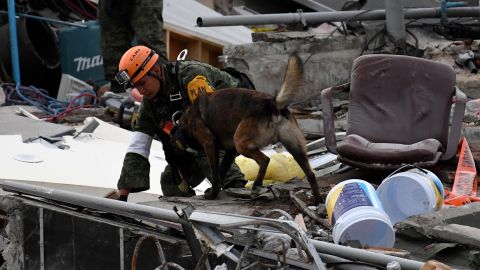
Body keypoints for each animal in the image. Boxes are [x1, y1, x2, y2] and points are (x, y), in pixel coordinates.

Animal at [174, 53, 320, 204]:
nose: (187, 185)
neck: (185, 124)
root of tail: (272, 103)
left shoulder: (209, 144)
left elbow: (215, 172)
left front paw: (212, 194)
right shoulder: (230, 150)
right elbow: (222, 170)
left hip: (241, 143)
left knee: (265, 160)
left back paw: (256, 187)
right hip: (295, 148)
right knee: (311, 174)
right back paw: (318, 202)